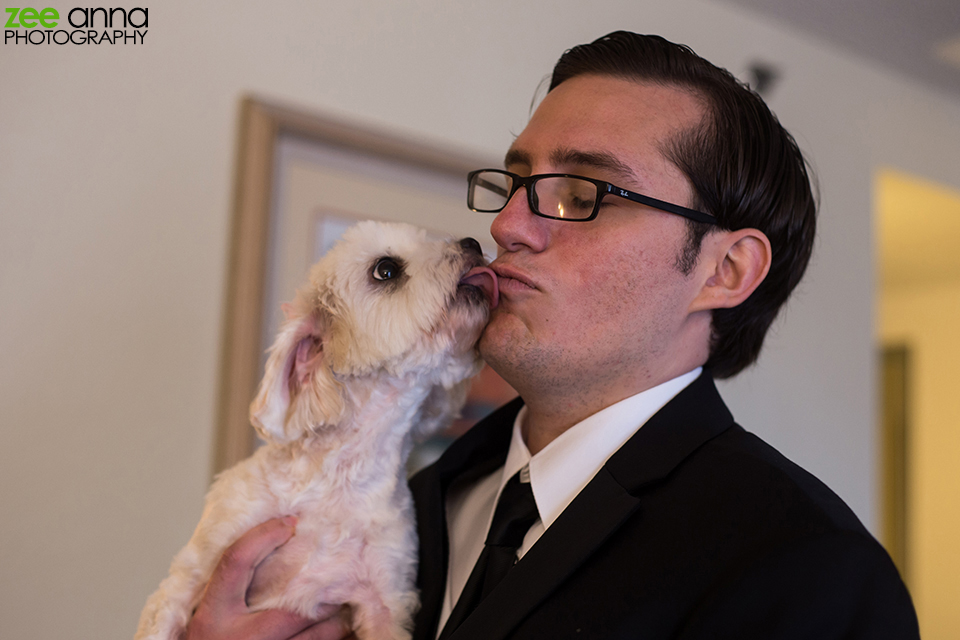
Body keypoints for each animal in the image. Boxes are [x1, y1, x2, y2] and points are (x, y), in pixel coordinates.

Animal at [139, 221, 498, 640]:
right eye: (386, 269)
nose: (473, 243)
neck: (340, 479)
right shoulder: (194, 567)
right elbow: (163, 617)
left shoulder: (385, 601)